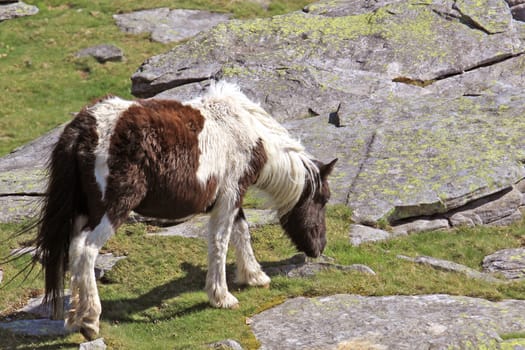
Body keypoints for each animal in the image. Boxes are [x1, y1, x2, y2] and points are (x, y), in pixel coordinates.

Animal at [33, 81, 336, 340]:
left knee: (74, 250)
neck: (248, 133)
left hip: (83, 212)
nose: (319, 248)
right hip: (112, 210)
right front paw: (222, 296)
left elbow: (241, 232)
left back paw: (75, 317)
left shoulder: (232, 197)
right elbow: (221, 241)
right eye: (323, 200)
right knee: (86, 251)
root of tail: (85, 126)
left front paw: (254, 276)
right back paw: (90, 321)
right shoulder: (230, 195)